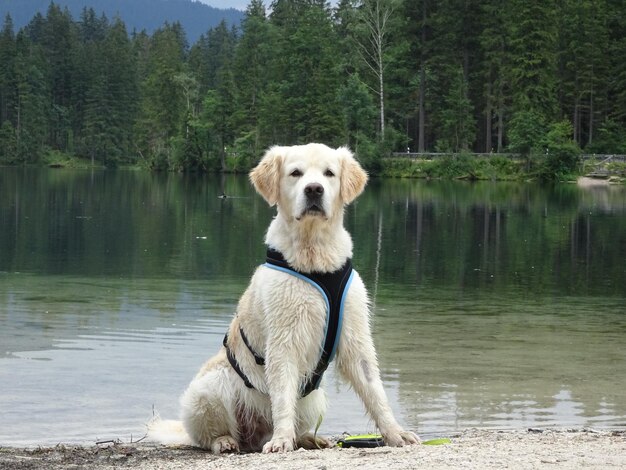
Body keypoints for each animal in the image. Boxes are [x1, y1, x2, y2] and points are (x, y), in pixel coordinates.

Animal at [149, 142, 416, 452]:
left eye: (329, 173)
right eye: (295, 173)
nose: (314, 190)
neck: (314, 259)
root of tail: (253, 434)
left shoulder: (355, 336)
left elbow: (375, 392)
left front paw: (395, 433)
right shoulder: (283, 340)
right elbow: (283, 396)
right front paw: (281, 440)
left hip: (315, 397)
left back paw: (309, 438)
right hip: (210, 386)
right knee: (207, 434)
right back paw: (226, 441)